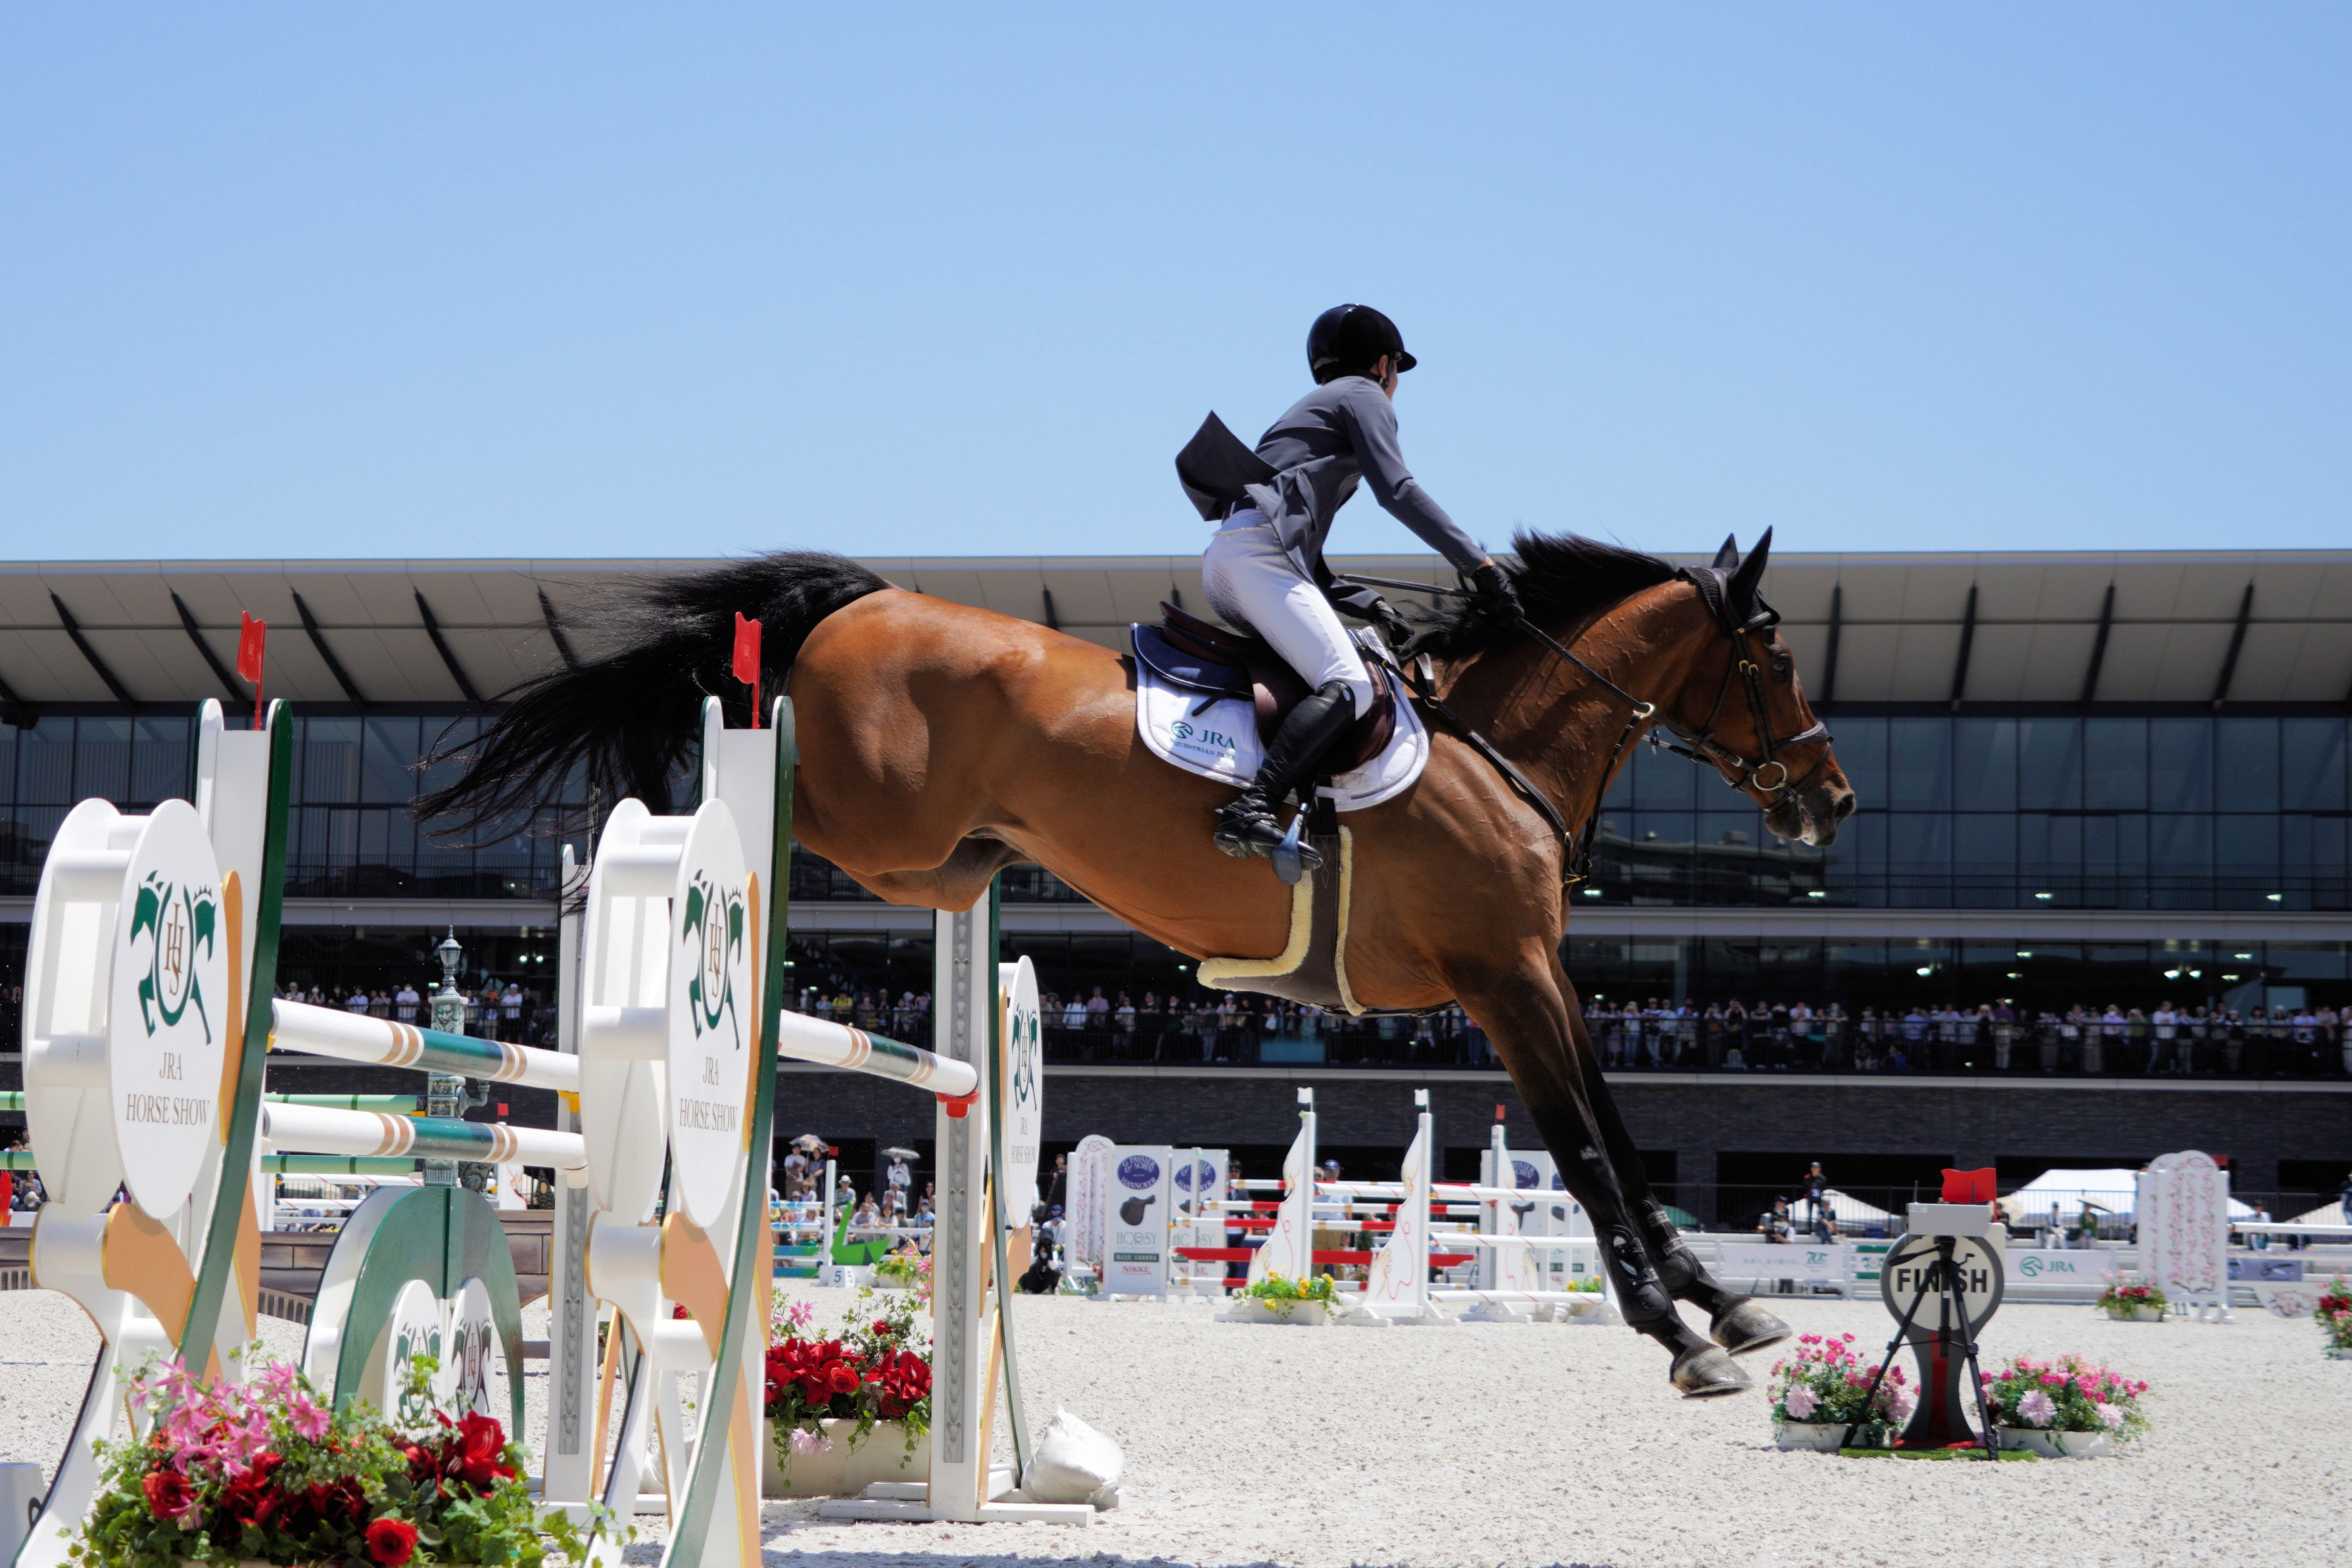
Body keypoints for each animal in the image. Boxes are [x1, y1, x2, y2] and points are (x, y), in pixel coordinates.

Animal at [425, 529, 1855, 1397]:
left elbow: (1611, 1126)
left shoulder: (1539, 973)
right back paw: (634, 845)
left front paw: (1723, 1302)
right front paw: (1678, 1332)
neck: (1498, 748)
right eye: (1775, 656)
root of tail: (867, 600)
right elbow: (1579, 1143)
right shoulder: (1502, 977)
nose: (1830, 801)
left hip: (951, 863)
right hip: (881, 822)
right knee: (745, 764)